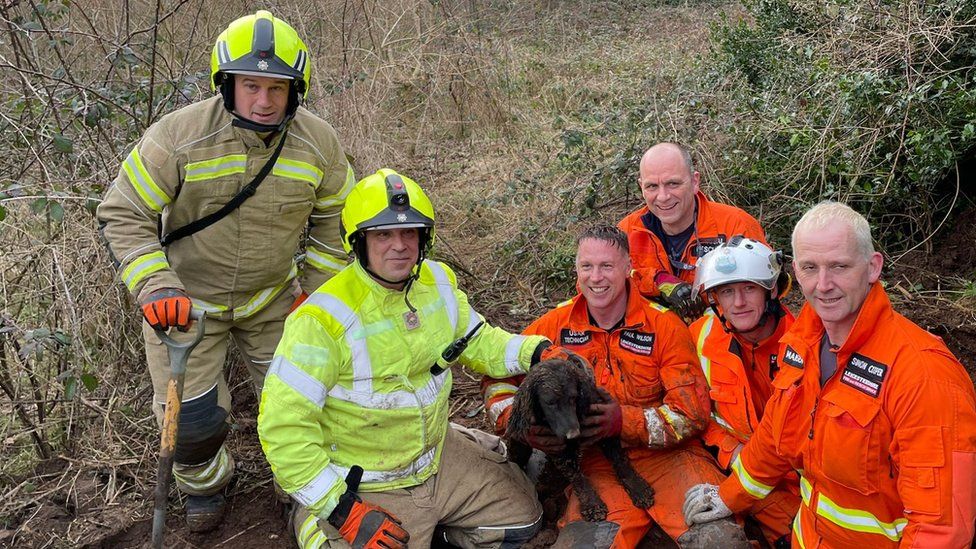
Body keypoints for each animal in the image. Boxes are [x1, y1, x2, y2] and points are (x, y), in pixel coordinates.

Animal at [504, 358, 656, 520]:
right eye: (550, 402)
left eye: (573, 397)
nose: (573, 435)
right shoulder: (561, 450)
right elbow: (578, 478)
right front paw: (593, 504)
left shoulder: (606, 427)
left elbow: (620, 460)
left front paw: (638, 488)